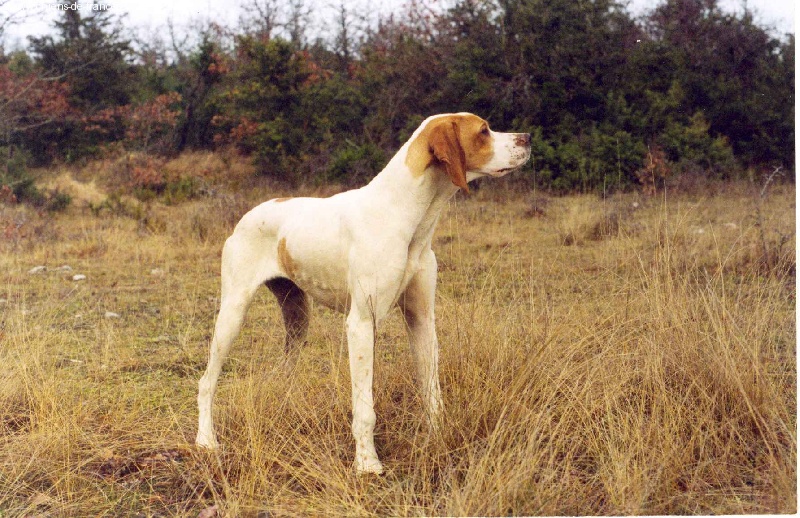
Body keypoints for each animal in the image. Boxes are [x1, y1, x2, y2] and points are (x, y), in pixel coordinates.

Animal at [196, 113, 531, 474]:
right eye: (484, 131)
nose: (527, 137)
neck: (404, 216)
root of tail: (248, 214)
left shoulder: (421, 319)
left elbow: (432, 392)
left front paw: (438, 436)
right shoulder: (361, 323)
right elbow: (365, 408)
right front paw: (367, 463)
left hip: (297, 320)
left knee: (284, 372)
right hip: (232, 315)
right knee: (206, 382)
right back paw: (206, 441)